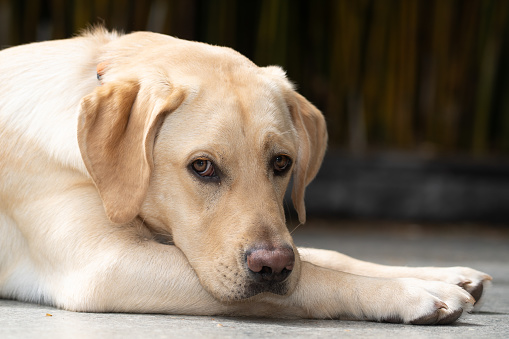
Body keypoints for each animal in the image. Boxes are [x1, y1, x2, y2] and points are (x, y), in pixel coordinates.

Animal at [0, 27, 492, 326]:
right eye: (202, 166)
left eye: (282, 163)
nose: (272, 265)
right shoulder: (106, 264)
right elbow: (312, 279)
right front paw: (412, 292)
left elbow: (325, 256)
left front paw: (441, 274)